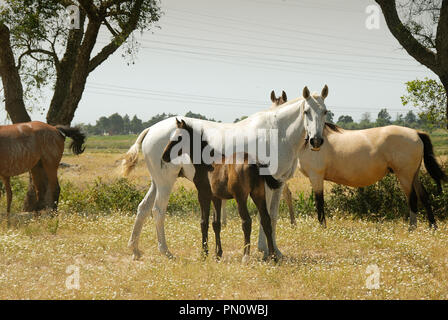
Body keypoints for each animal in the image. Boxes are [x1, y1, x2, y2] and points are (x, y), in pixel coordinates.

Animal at [161, 119, 280, 262]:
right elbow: (216, 224)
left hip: (241, 198)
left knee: (246, 222)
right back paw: (273, 256)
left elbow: (204, 222)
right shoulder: (216, 197)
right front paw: (218, 254)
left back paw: (245, 256)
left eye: (179, 137)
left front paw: (204, 253)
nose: (164, 156)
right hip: (258, 195)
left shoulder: (203, 195)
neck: (207, 164)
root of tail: (255, 162)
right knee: (266, 220)